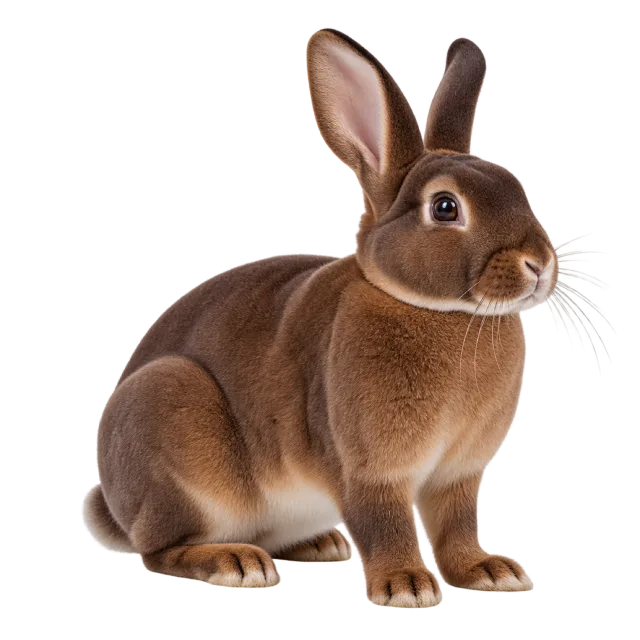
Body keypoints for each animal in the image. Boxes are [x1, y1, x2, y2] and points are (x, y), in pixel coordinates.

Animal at [82, 27, 557, 609]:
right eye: (445, 208)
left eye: (515, 186)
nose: (540, 263)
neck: (435, 308)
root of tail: (115, 502)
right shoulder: (369, 469)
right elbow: (384, 522)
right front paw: (405, 585)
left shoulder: (458, 475)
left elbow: (457, 526)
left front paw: (490, 572)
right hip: (170, 423)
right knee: (160, 548)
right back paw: (237, 563)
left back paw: (320, 545)